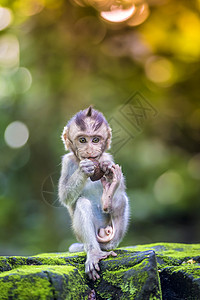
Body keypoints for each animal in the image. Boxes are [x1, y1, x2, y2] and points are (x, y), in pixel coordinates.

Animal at [58, 106, 129, 282]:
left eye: (95, 140)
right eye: (83, 140)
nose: (90, 150)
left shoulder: (108, 157)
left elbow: (121, 189)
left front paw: (112, 181)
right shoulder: (67, 161)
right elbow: (64, 196)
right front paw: (84, 170)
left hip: (113, 232)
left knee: (121, 198)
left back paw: (108, 200)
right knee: (83, 203)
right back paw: (94, 252)